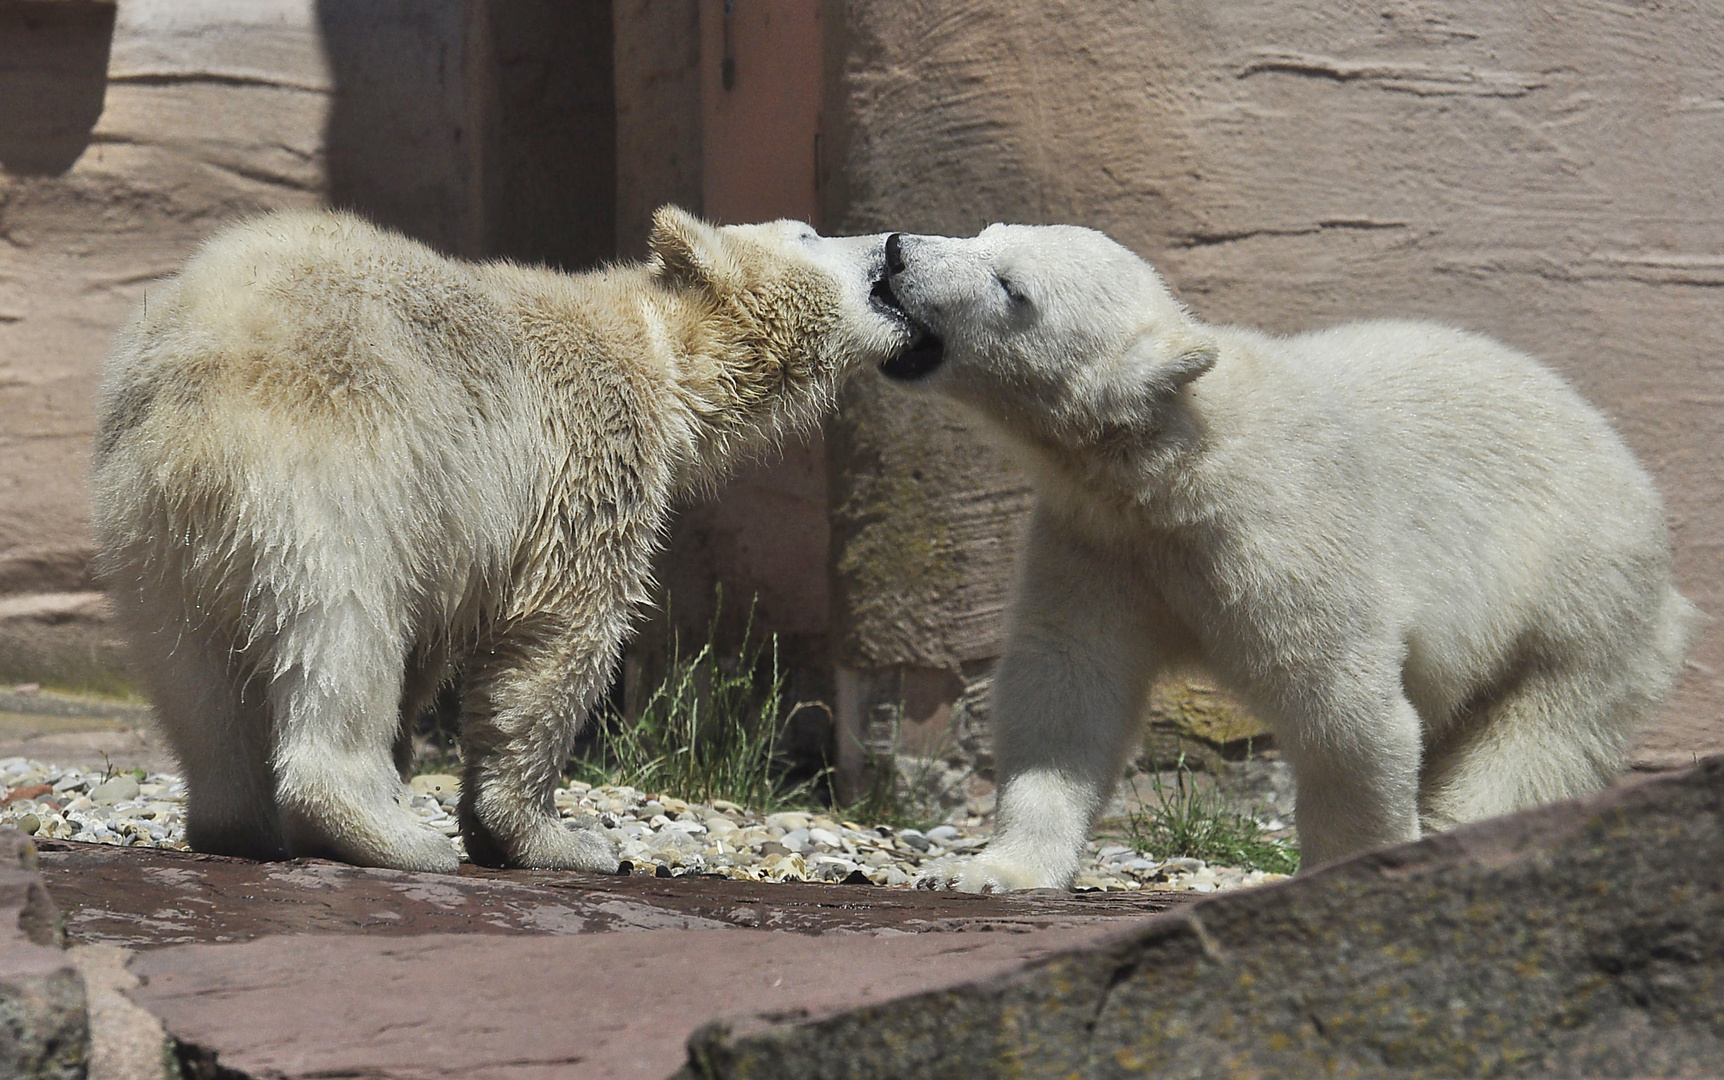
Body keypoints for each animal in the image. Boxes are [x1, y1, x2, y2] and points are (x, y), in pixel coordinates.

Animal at [90, 206, 917, 869]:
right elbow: (555, 639)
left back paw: (236, 821)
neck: (658, 350)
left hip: (147, 526)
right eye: (808, 233)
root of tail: (196, 380)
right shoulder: (586, 455)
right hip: (336, 468)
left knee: (195, 677)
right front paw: (552, 838)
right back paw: (390, 834)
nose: (893, 242)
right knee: (344, 630)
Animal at [875, 222, 1696, 890]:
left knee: (1534, 739)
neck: (1167, 461)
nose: (896, 250)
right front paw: (992, 870)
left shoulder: (1282, 530)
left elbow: (1341, 700)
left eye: (1013, 287)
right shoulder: (1097, 543)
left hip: (1578, 596)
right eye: (986, 231)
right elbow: (1066, 684)